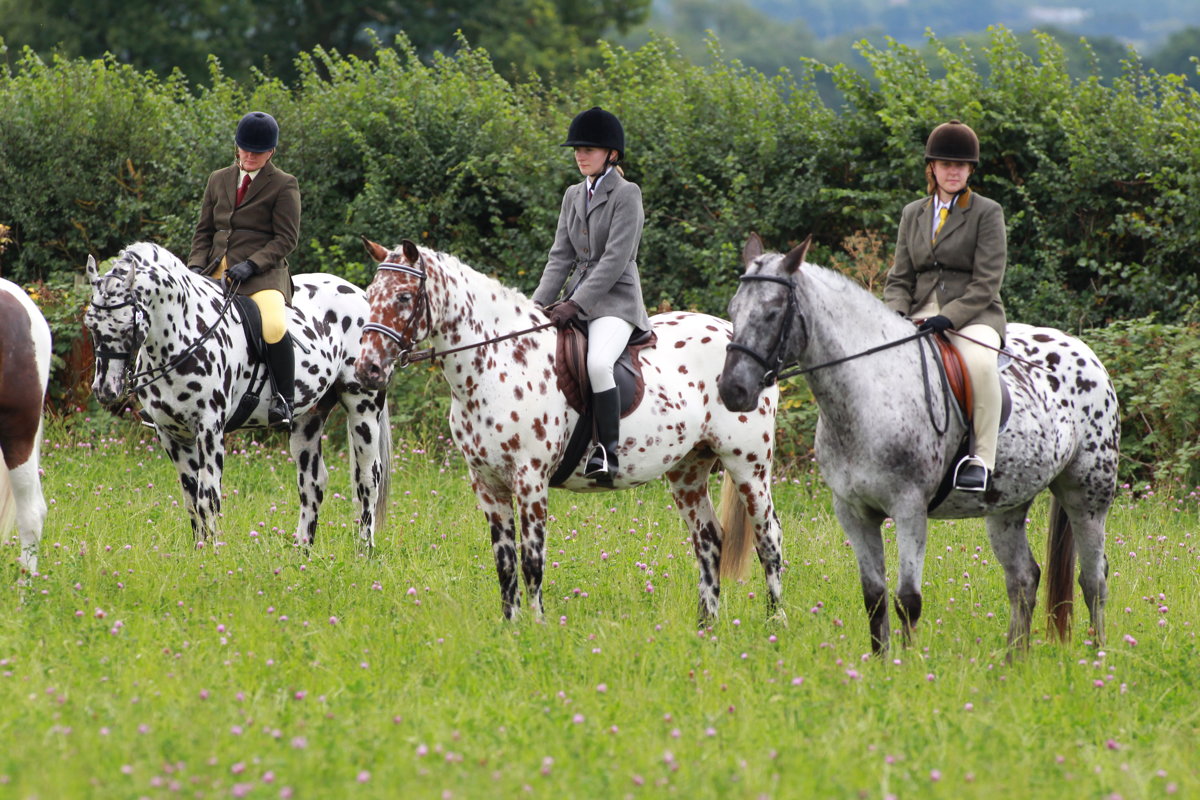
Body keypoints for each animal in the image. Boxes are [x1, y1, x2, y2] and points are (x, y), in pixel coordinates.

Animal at [84, 242, 391, 550]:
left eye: (126, 324)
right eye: (90, 324)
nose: (105, 389)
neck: (184, 334)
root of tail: (361, 294)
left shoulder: (209, 428)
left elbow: (208, 498)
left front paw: (212, 553)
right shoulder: (169, 433)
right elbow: (191, 499)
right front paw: (199, 550)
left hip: (363, 408)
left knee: (368, 478)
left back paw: (364, 550)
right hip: (309, 418)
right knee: (313, 483)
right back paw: (302, 550)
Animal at [353, 238, 785, 624]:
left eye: (404, 297)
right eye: (370, 294)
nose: (367, 369)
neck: (498, 362)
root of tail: (738, 340)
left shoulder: (530, 481)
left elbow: (532, 561)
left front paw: (539, 629)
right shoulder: (488, 484)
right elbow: (505, 563)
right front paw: (511, 629)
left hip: (749, 468)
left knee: (769, 540)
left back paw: (775, 624)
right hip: (688, 471)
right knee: (709, 540)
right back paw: (705, 628)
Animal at [719, 235, 1119, 654]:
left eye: (772, 311)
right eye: (733, 310)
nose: (733, 391)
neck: (869, 396)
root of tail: (1083, 351)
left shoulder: (909, 509)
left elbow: (908, 600)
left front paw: (907, 665)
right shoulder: (854, 512)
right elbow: (874, 597)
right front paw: (882, 662)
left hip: (1087, 496)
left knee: (1094, 580)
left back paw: (1097, 655)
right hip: (1006, 506)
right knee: (1024, 579)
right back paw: (1014, 660)